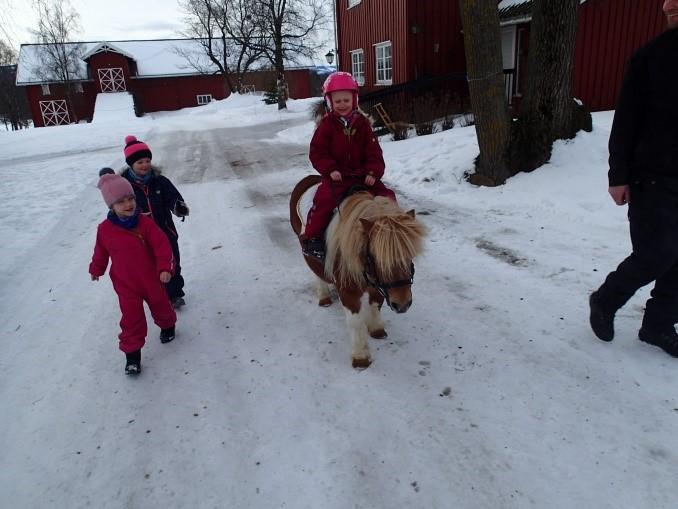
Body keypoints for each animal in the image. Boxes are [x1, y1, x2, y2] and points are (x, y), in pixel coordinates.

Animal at [290, 175, 428, 366]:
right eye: (376, 256)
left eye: (409, 254)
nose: (402, 305)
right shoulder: (349, 291)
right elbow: (355, 322)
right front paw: (361, 356)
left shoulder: (378, 285)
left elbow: (376, 304)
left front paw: (376, 329)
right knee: (316, 271)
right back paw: (324, 296)